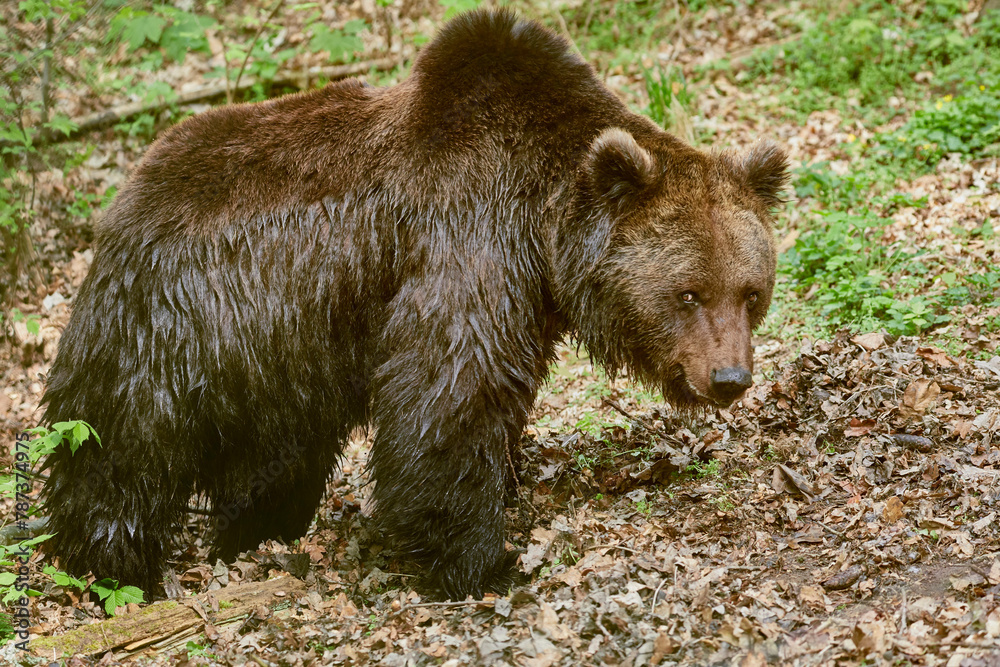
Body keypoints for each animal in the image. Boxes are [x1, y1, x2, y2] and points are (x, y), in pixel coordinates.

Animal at [40, 8, 788, 600]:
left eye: (751, 292)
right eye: (688, 292)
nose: (728, 377)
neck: (544, 224)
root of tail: (132, 182)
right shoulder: (464, 241)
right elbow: (449, 392)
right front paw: (481, 559)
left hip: (281, 349)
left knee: (277, 452)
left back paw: (258, 527)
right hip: (172, 319)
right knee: (118, 441)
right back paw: (110, 562)